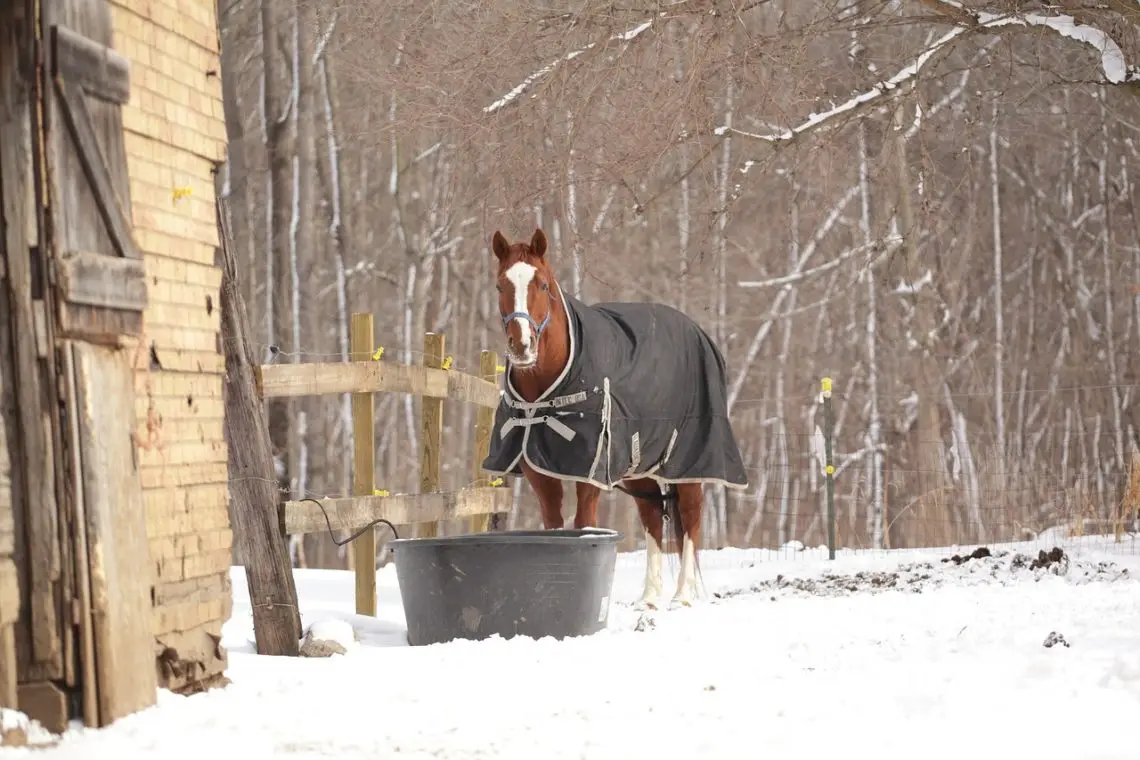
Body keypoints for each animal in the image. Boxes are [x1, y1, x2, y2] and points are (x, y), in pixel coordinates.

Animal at [481, 228, 749, 609]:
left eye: (543, 285)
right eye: (500, 285)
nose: (522, 345)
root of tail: (699, 334)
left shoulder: (590, 474)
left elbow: (584, 525)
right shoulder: (540, 472)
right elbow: (553, 526)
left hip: (689, 464)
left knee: (692, 519)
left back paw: (682, 596)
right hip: (641, 470)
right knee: (653, 519)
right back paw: (648, 597)